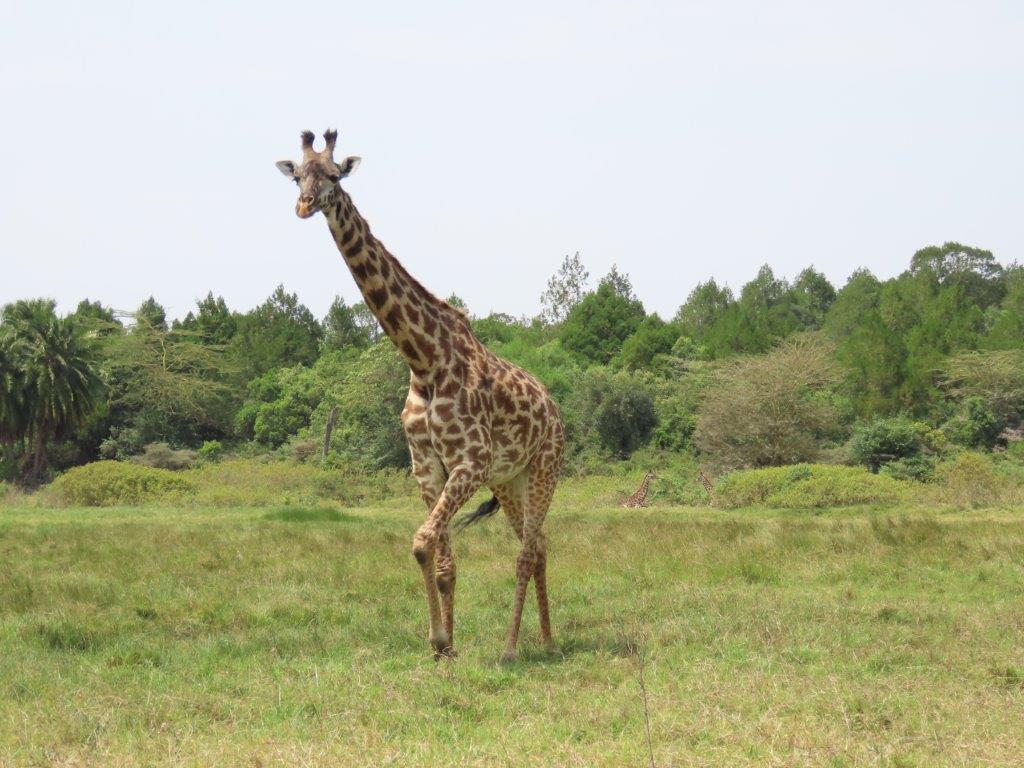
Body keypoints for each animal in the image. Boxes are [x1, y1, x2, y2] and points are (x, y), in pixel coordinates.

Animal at [276, 130, 565, 663]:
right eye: (297, 176)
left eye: (334, 176)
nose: (305, 205)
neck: (423, 360)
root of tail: (555, 411)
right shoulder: (428, 464)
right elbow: (441, 559)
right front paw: (445, 647)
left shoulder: (468, 462)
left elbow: (420, 542)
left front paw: (439, 638)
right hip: (508, 480)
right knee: (539, 547)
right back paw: (549, 640)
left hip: (544, 469)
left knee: (526, 552)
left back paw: (512, 648)